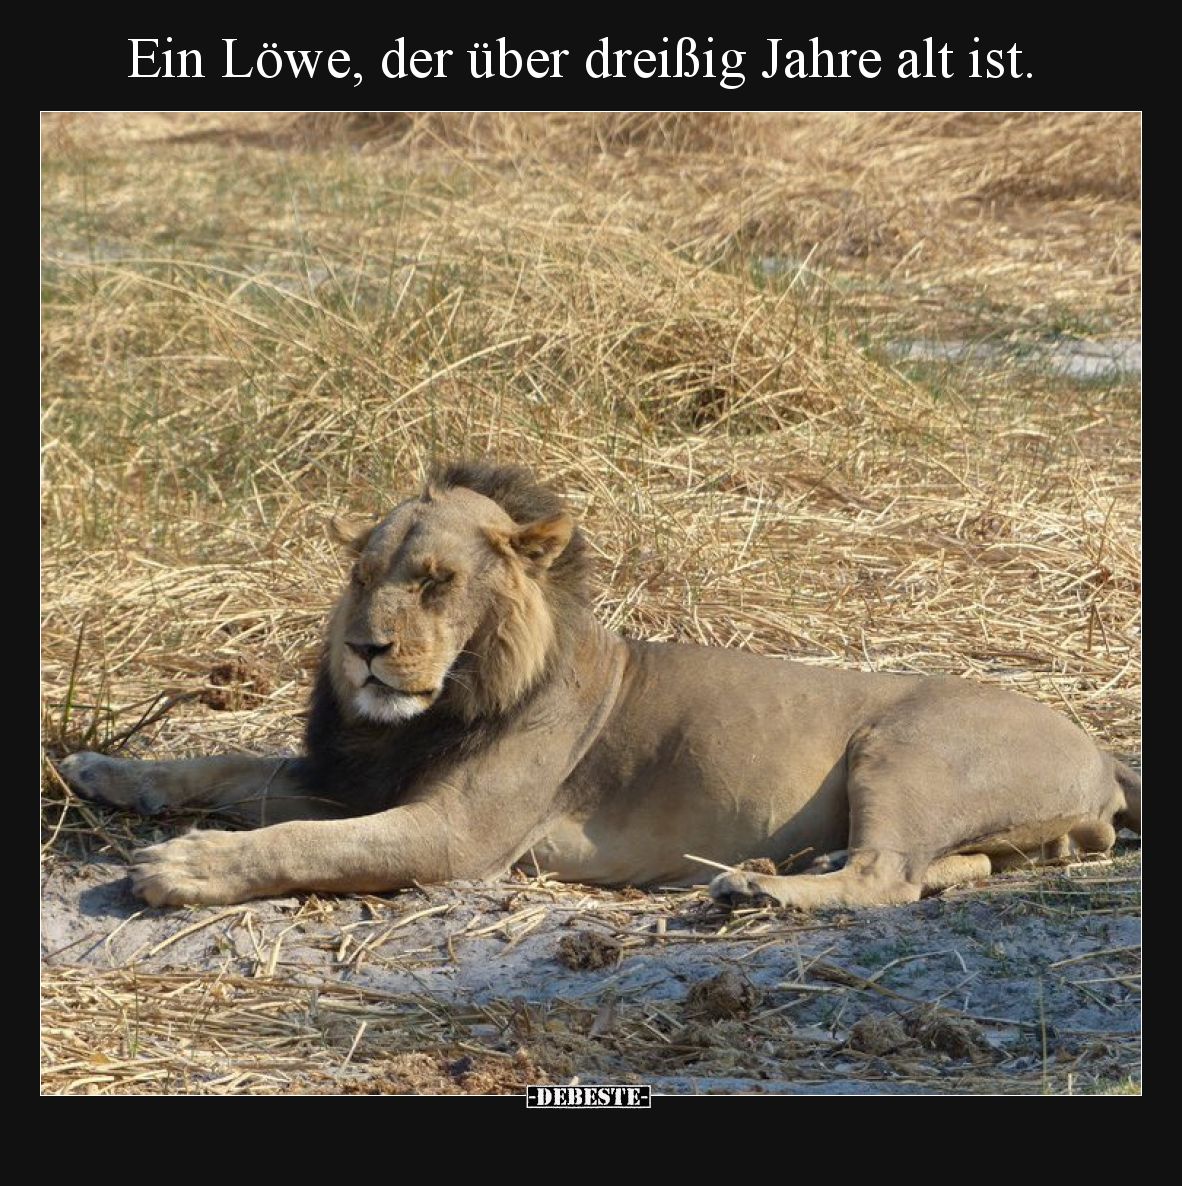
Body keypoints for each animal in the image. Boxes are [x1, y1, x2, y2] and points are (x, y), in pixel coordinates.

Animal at [59, 461, 1141, 911]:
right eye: (363, 576)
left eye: (437, 582)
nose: (366, 649)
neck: (429, 709)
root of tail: (1095, 746)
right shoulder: (353, 775)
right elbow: (225, 764)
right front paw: (103, 769)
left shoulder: (455, 836)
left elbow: (302, 846)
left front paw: (181, 868)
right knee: (943, 871)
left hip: (902, 748)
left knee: (888, 879)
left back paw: (755, 891)